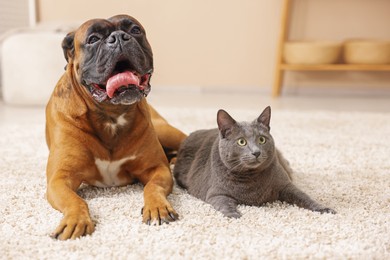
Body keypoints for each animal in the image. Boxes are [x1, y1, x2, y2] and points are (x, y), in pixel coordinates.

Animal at [44, 14, 187, 240]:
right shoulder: (59, 180)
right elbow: (75, 200)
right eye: (93, 39)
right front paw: (76, 219)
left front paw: (157, 207)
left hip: (165, 131)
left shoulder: (157, 169)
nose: (119, 37)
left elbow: (153, 187)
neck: (111, 115)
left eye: (135, 30)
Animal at [174, 105, 336, 217]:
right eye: (241, 142)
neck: (250, 178)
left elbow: (304, 197)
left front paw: (324, 208)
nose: (256, 152)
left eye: (262, 139)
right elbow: (224, 203)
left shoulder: (286, 185)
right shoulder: (216, 193)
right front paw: (234, 214)